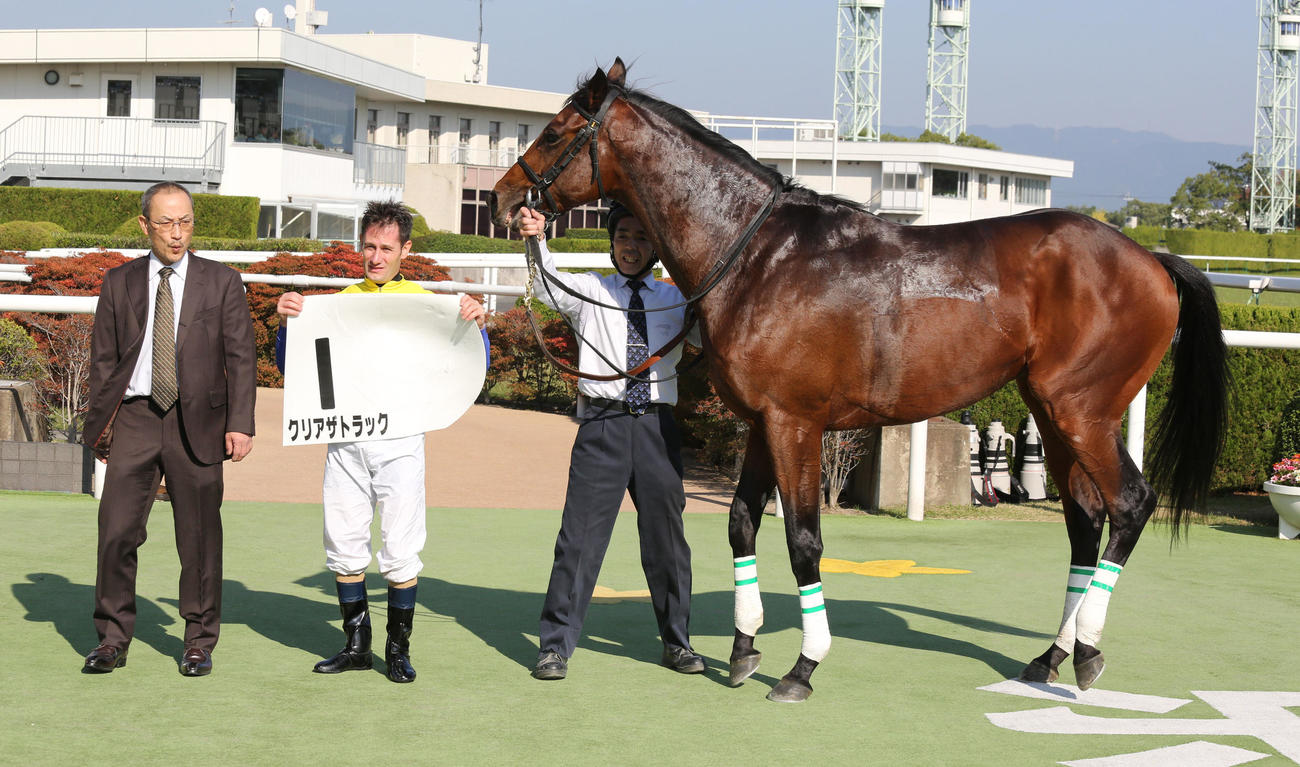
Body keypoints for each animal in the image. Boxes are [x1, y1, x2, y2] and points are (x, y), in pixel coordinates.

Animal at [490, 59, 1228, 703]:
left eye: (554, 131)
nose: (502, 199)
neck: (757, 255)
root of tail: (1152, 260)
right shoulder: (761, 422)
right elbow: (740, 524)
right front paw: (743, 648)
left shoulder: (795, 423)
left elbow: (803, 540)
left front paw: (801, 666)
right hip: (1050, 409)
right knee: (1084, 520)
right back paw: (1050, 655)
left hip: (1082, 409)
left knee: (1130, 503)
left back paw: (1089, 651)